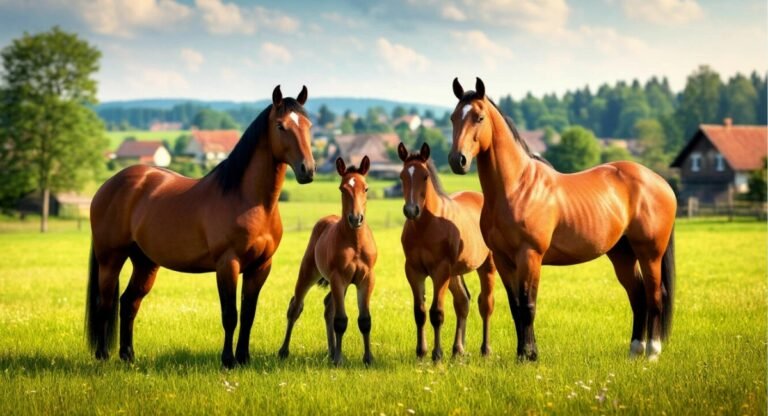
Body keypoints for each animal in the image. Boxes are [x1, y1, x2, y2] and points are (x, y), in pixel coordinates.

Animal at [86, 85, 315, 369]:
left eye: (308, 125)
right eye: (281, 126)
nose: (308, 170)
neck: (250, 200)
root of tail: (108, 185)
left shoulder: (261, 266)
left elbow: (248, 314)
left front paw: (244, 358)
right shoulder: (227, 264)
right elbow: (230, 314)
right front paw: (228, 360)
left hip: (145, 262)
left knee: (129, 302)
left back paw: (128, 355)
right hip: (110, 259)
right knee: (105, 304)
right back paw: (102, 357)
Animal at [278, 156, 377, 366]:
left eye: (365, 188)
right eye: (342, 189)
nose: (356, 218)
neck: (355, 243)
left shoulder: (366, 279)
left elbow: (365, 320)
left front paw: (368, 359)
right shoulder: (338, 278)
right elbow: (341, 321)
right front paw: (339, 360)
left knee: (328, 307)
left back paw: (331, 351)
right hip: (309, 272)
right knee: (296, 307)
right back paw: (284, 351)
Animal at [397, 142, 496, 361]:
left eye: (425, 176)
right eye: (402, 176)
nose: (411, 210)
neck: (427, 226)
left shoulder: (440, 270)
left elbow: (437, 313)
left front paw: (437, 354)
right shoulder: (414, 271)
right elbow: (420, 312)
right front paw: (421, 352)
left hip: (486, 266)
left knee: (485, 304)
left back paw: (485, 349)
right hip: (454, 273)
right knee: (463, 301)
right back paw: (458, 349)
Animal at [447, 77, 676, 361]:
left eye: (479, 117)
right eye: (453, 118)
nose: (457, 160)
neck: (516, 187)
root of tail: (660, 182)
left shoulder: (530, 256)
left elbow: (528, 305)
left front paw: (529, 355)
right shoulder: (502, 260)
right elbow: (515, 306)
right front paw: (522, 354)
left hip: (650, 252)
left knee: (655, 295)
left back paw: (653, 353)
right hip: (622, 254)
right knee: (638, 296)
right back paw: (635, 351)